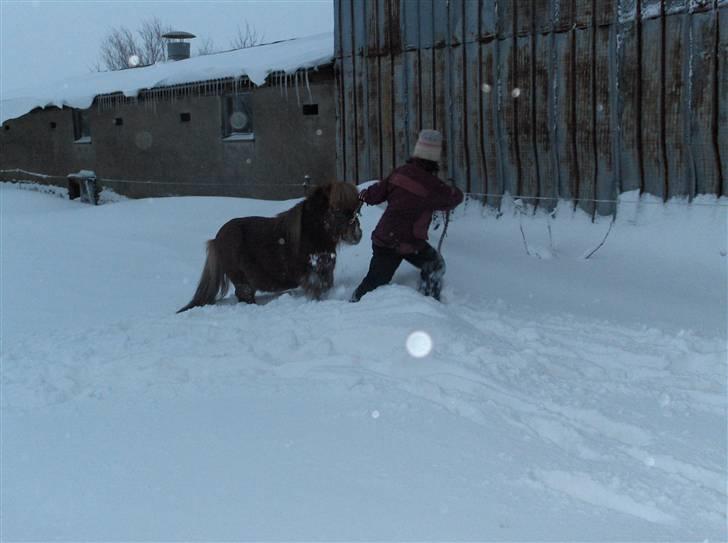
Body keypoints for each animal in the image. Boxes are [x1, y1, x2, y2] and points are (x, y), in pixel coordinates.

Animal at [177, 181, 362, 312]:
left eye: (355, 209)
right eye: (335, 209)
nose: (357, 234)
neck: (310, 234)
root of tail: (216, 239)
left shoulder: (326, 272)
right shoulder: (312, 276)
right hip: (241, 279)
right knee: (244, 294)